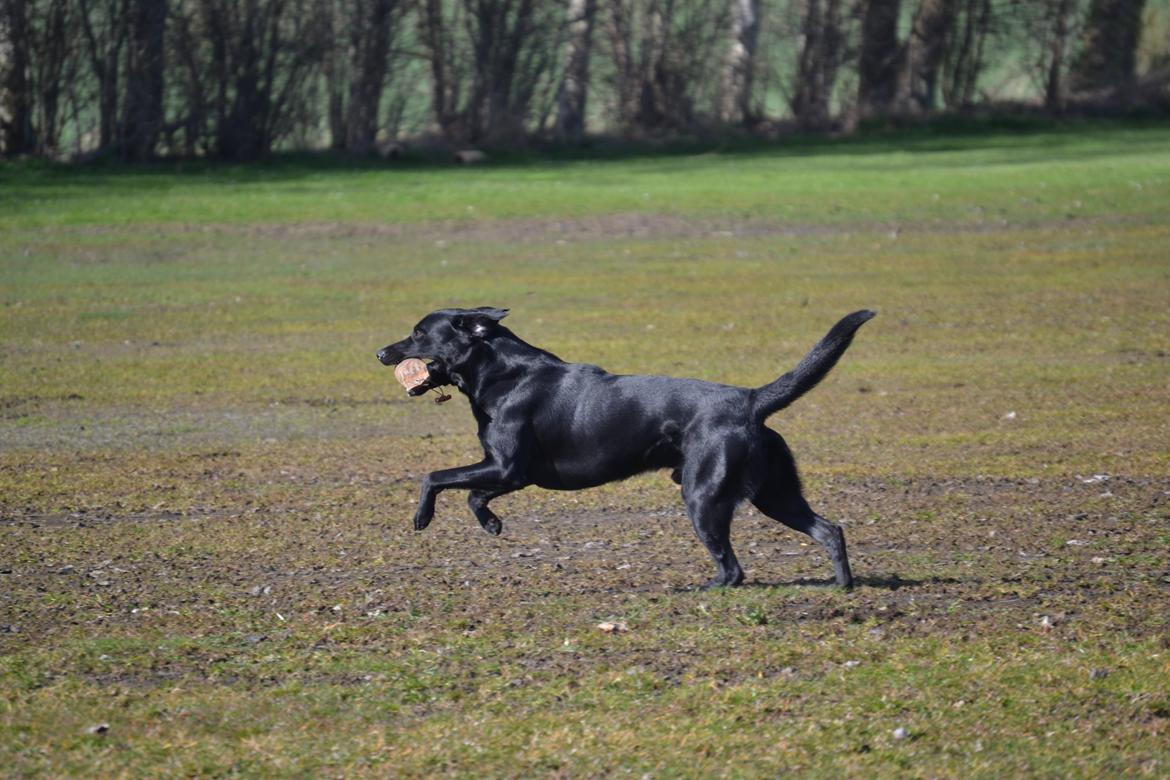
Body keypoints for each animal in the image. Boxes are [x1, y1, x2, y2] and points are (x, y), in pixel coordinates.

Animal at [379, 308, 875, 589]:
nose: (381, 353)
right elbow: (471, 493)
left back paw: (705, 588)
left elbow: (437, 477)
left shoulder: (507, 468)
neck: (501, 371)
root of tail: (750, 399)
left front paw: (423, 517)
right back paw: (842, 587)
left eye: (419, 333)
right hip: (774, 492)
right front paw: (492, 523)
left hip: (704, 495)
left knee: (733, 570)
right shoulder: (506, 473)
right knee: (829, 530)